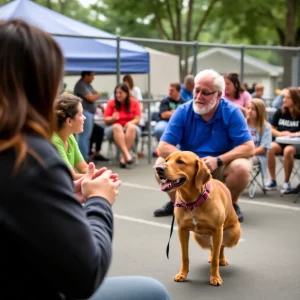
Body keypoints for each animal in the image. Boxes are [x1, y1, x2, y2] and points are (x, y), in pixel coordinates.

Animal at [155, 151, 241, 284]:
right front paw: (183, 274)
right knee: (212, 247)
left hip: (233, 234)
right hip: (199, 237)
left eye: (180, 161)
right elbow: (185, 256)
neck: (192, 203)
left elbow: (216, 257)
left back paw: (221, 259)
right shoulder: (182, 230)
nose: (158, 169)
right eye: (166, 160)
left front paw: (215, 277)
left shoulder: (218, 230)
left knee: (220, 247)